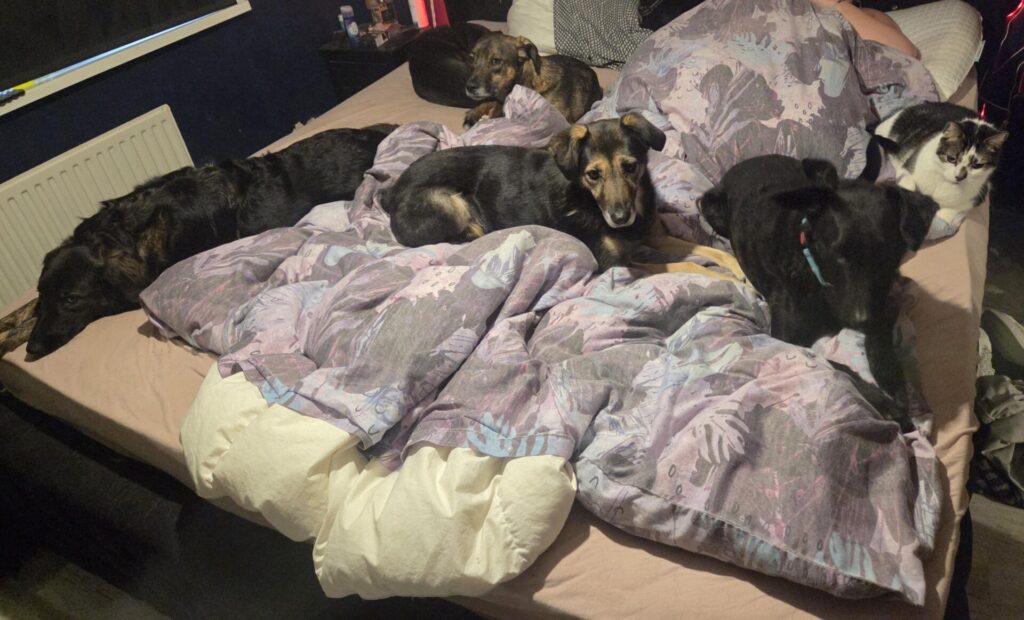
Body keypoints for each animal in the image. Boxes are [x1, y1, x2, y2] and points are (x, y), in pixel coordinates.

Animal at [0, 124, 397, 359]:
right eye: (43, 295)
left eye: (72, 299)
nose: (32, 349)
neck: (125, 231)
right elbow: (22, 312)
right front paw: (10, 328)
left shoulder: (134, 289)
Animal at [381, 112, 666, 270]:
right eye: (593, 175)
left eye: (630, 167)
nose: (620, 219)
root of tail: (392, 192)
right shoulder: (613, 262)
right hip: (448, 203)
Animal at [699, 155, 938, 431]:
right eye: (838, 254)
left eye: (887, 256)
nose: (860, 320)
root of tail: (750, 161)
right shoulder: (786, 340)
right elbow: (836, 366)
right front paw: (883, 402)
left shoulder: (885, 303)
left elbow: (881, 341)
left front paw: (894, 381)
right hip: (710, 207)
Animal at [874, 102, 1008, 224]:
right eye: (951, 158)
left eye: (977, 165)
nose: (960, 176)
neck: (943, 182)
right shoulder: (907, 167)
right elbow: (909, 185)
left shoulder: (979, 194)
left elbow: (947, 215)